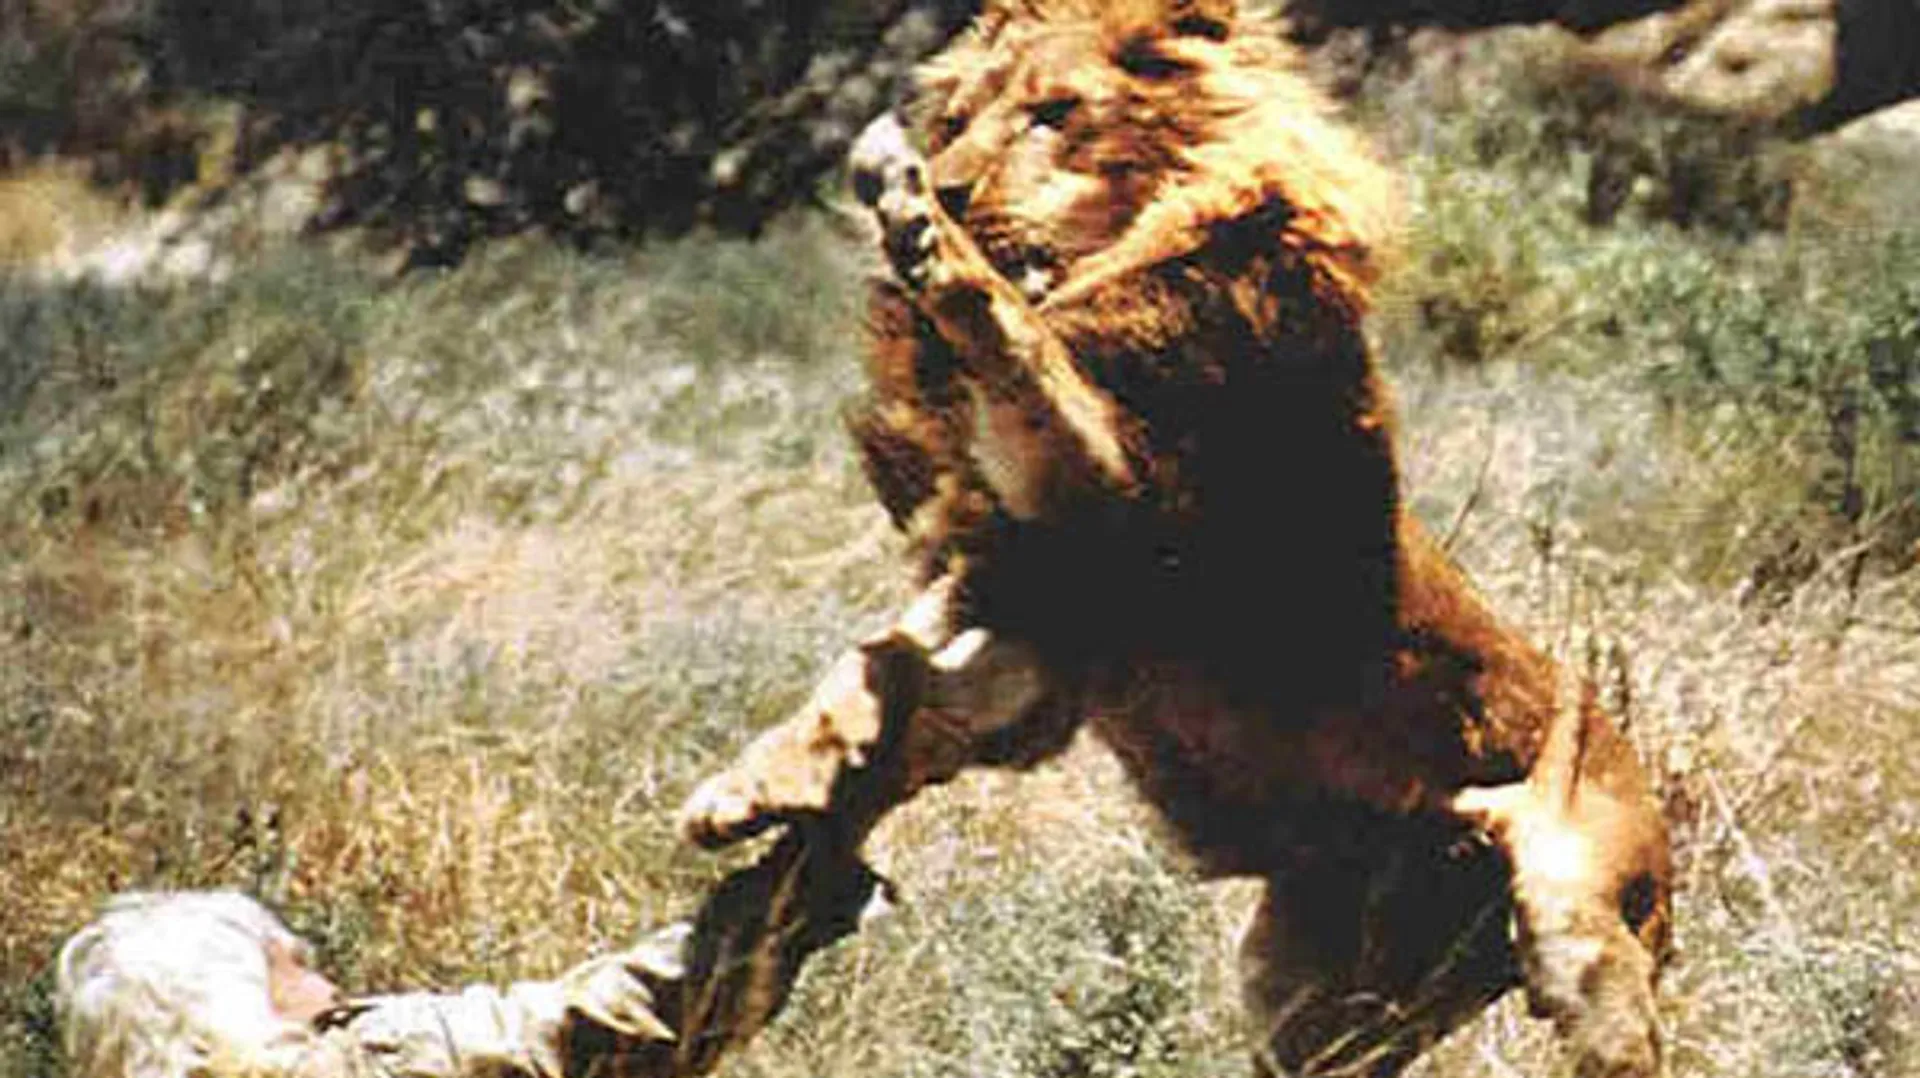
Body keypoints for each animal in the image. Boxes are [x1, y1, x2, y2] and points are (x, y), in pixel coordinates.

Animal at [678, 2, 1674, 1075]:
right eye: (965, 116)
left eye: (1054, 113)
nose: (950, 183)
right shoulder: (1027, 599)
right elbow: (870, 671)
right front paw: (748, 789)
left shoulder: (1122, 492)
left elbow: (1015, 336)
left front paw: (915, 217)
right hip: (1311, 990)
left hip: (1581, 933)